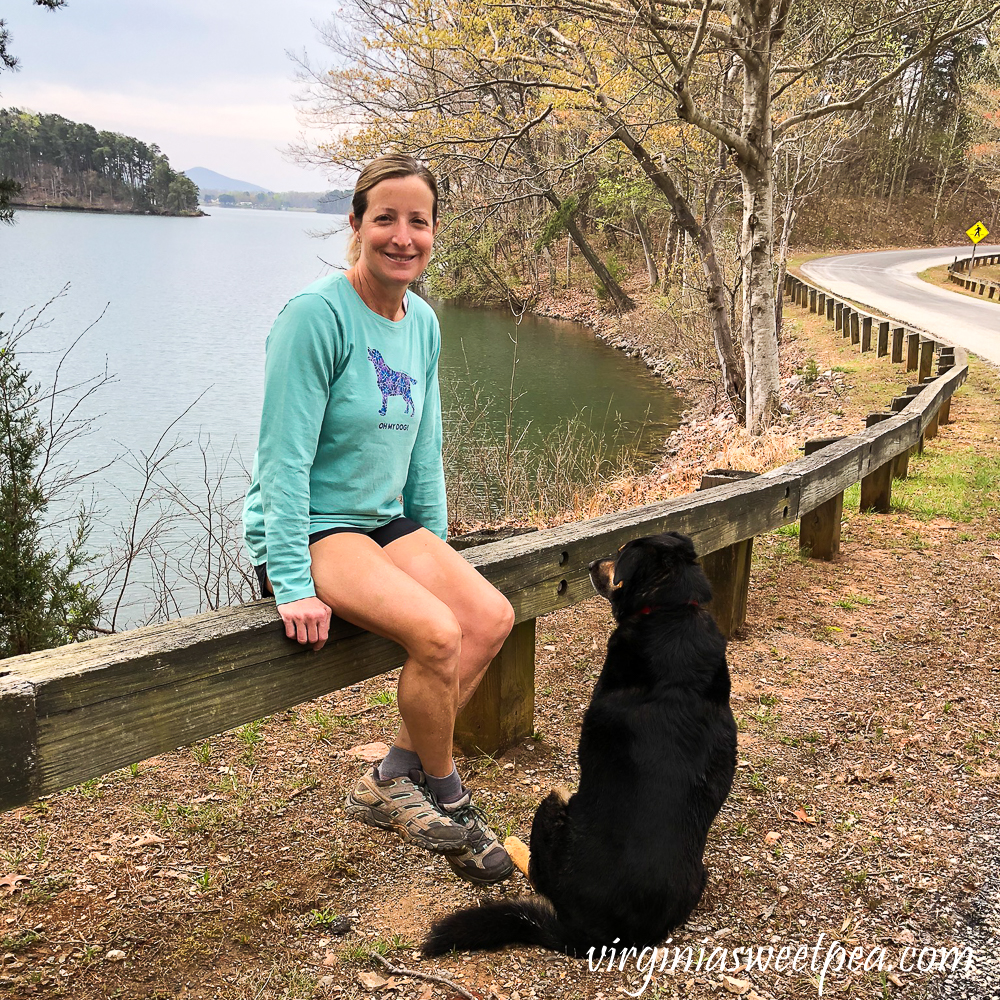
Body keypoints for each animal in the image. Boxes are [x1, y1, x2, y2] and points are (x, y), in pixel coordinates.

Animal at [420, 536, 736, 956]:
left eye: (620, 554)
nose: (588, 564)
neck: (672, 611)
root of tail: (601, 934)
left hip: (552, 805)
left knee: (537, 870)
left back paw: (515, 846)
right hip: (699, 874)